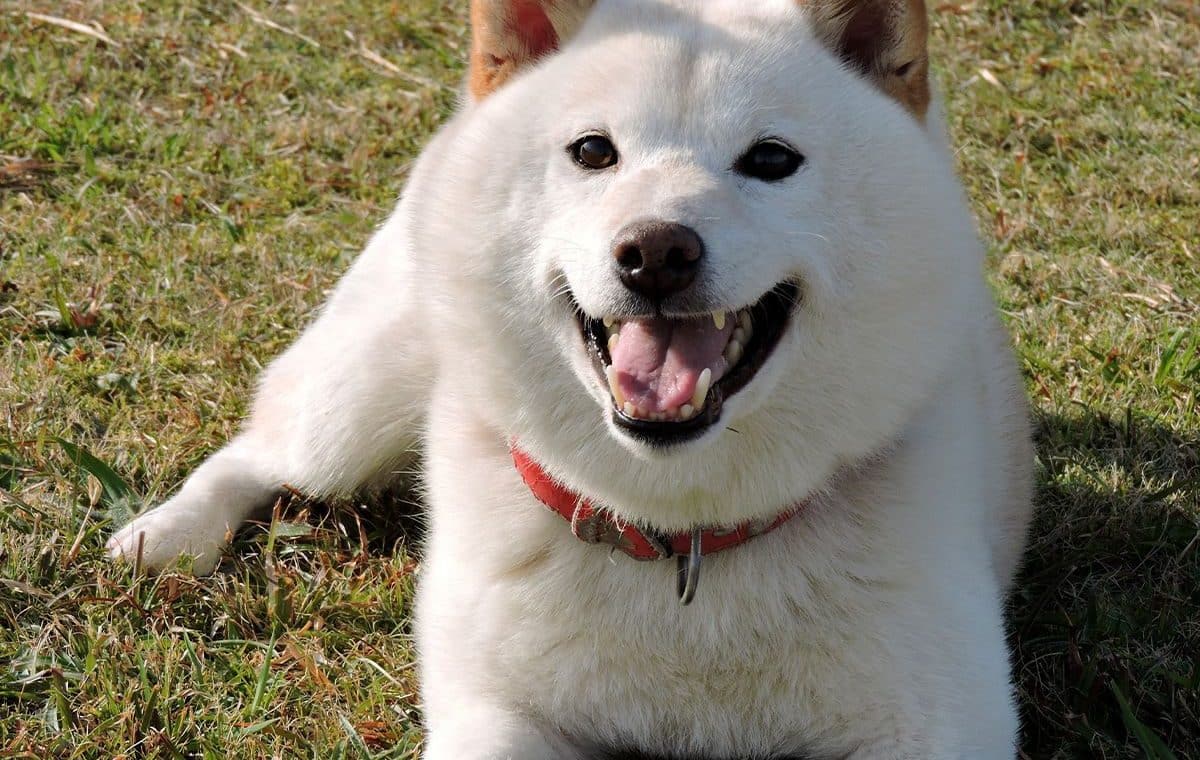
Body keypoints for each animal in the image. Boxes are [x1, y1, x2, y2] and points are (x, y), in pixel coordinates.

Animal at [108, 2, 1036, 753]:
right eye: (593, 152)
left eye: (772, 159)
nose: (656, 252)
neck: (680, 538)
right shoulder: (496, 713)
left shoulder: (943, 721)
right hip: (356, 405)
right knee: (260, 451)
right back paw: (167, 534)